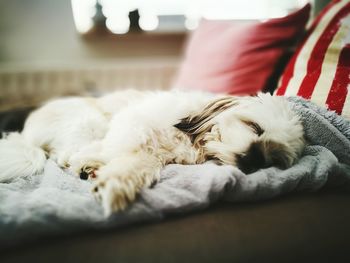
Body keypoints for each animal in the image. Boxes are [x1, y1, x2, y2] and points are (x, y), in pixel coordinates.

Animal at [0, 89, 304, 216]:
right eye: (254, 127)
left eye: (272, 160)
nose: (254, 160)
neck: (194, 141)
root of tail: (26, 134)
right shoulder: (135, 122)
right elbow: (121, 146)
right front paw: (97, 165)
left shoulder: (155, 156)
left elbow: (138, 164)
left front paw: (116, 183)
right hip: (89, 120)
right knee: (66, 152)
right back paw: (85, 161)